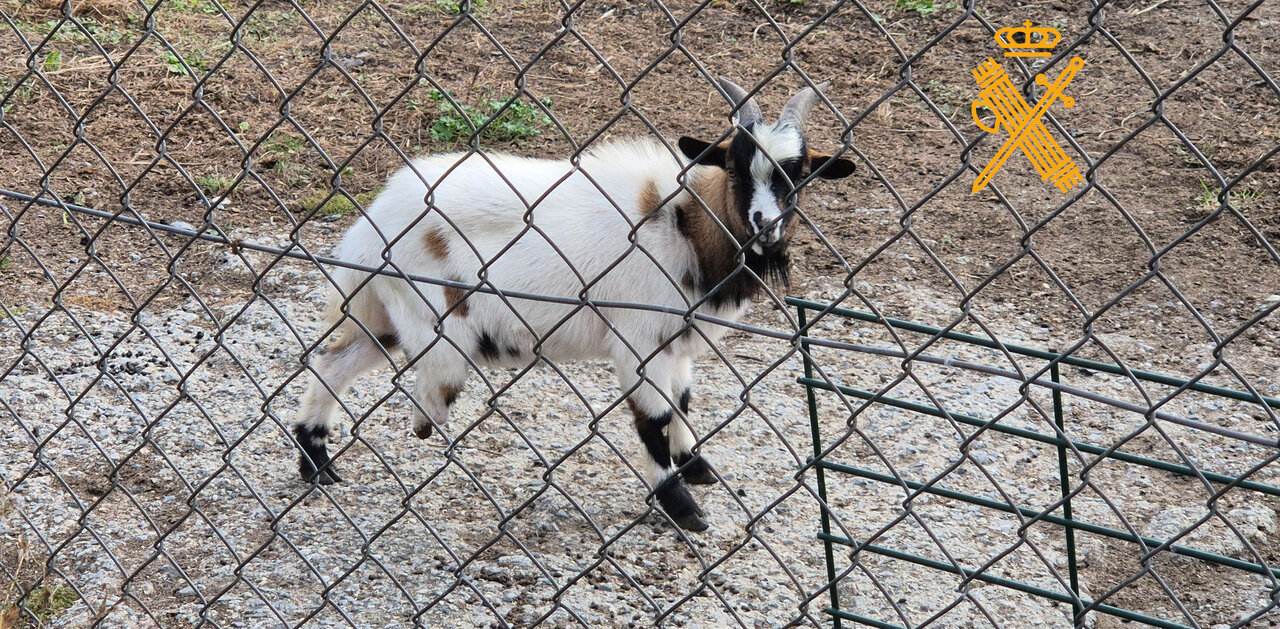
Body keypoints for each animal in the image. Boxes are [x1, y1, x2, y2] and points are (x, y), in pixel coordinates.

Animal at [293, 78, 855, 532]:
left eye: (799, 173)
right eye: (736, 168)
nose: (765, 226)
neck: (687, 226)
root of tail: (372, 225)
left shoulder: (677, 341)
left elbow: (682, 401)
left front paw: (694, 464)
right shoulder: (639, 340)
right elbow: (653, 419)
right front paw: (682, 506)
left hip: (382, 313)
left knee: (331, 363)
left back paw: (315, 458)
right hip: (430, 319)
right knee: (409, 382)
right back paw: (391, 433)